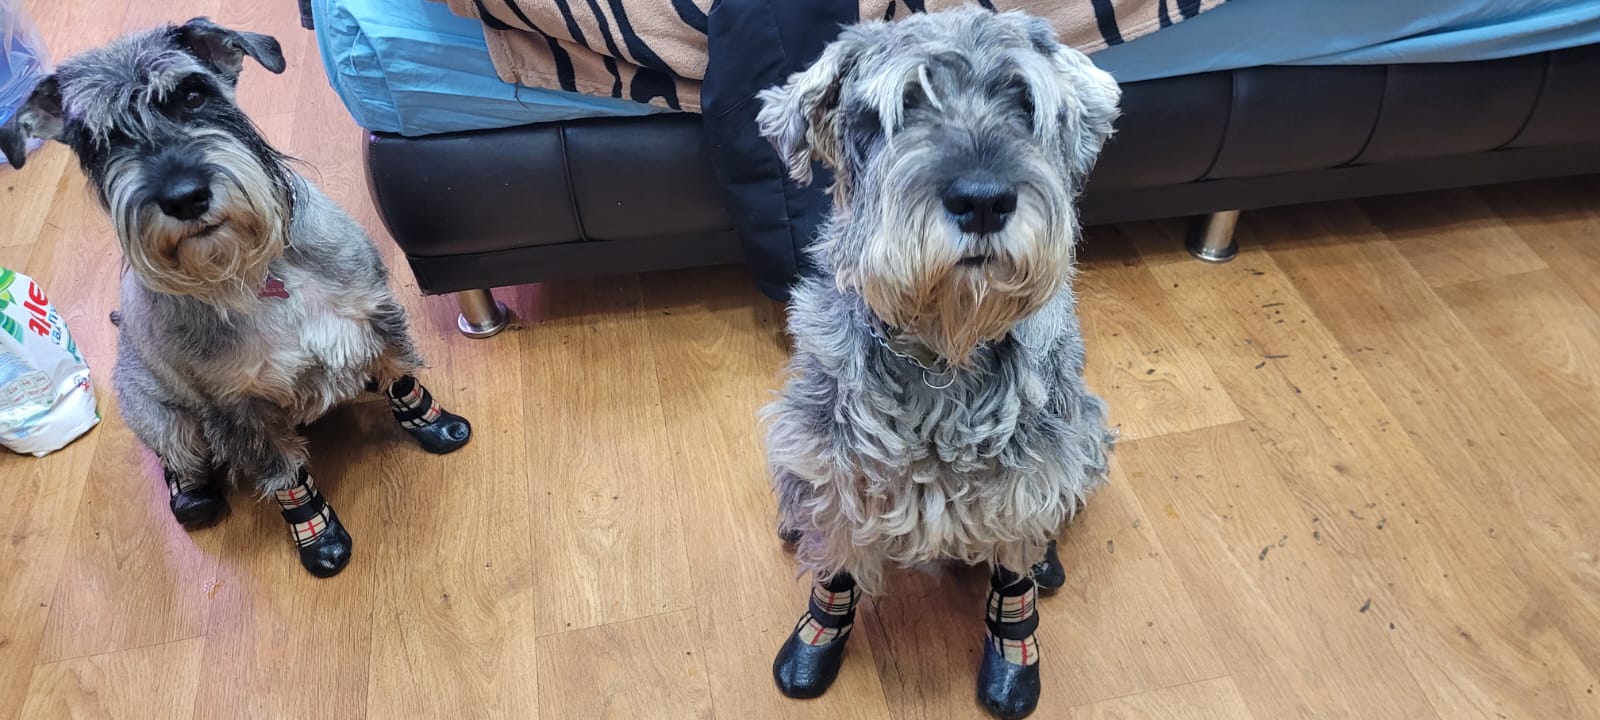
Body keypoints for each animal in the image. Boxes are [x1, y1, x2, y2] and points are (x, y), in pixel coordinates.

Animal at [0, 18, 472, 578]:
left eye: (193, 94)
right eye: (99, 140)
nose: (184, 197)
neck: (253, 271)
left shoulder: (373, 318)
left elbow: (401, 379)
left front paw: (436, 426)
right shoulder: (241, 411)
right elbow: (287, 476)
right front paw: (319, 538)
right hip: (160, 416)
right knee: (179, 458)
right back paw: (193, 497)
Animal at [756, 8, 1118, 718]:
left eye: (1025, 101)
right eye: (904, 105)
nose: (983, 200)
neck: (941, 352)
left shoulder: (1027, 475)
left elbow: (1013, 564)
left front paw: (1014, 652)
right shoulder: (838, 462)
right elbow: (837, 551)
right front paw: (818, 635)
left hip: (1087, 428)